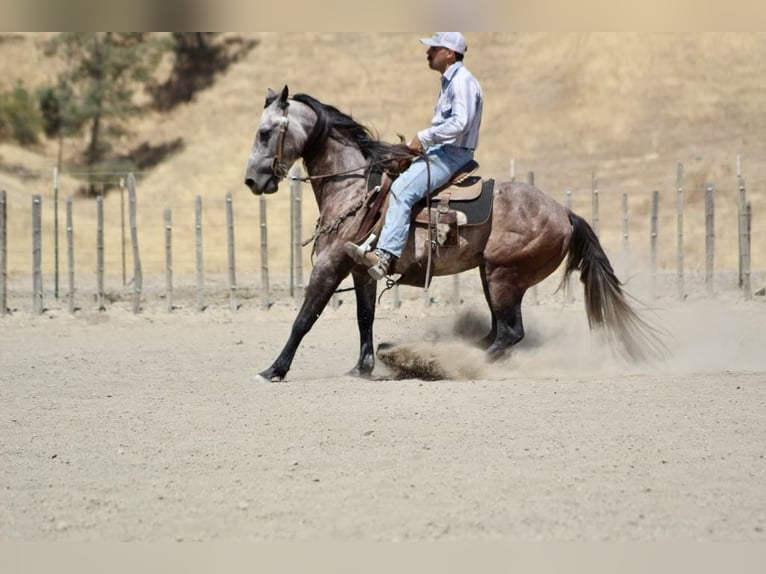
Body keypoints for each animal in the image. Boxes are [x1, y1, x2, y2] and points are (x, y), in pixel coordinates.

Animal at [244, 85, 664, 382]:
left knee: (509, 333)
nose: (252, 180)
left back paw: (444, 361)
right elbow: (365, 316)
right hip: (494, 278)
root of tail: (566, 213)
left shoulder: (330, 264)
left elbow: (305, 317)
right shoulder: (360, 268)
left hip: (503, 276)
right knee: (499, 331)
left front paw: (273, 370)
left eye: (264, 133)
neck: (355, 187)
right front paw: (362, 366)